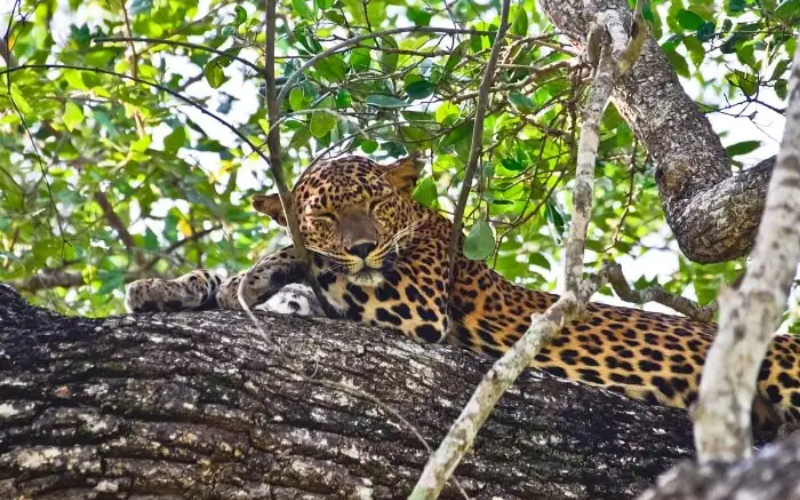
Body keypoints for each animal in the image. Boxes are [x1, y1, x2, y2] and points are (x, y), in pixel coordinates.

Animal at [123, 155, 800, 430]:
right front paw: (164, 288)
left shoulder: (415, 307)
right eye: (325, 214)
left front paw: (265, 267)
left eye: (375, 205)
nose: (363, 246)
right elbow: (245, 282)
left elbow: (308, 265)